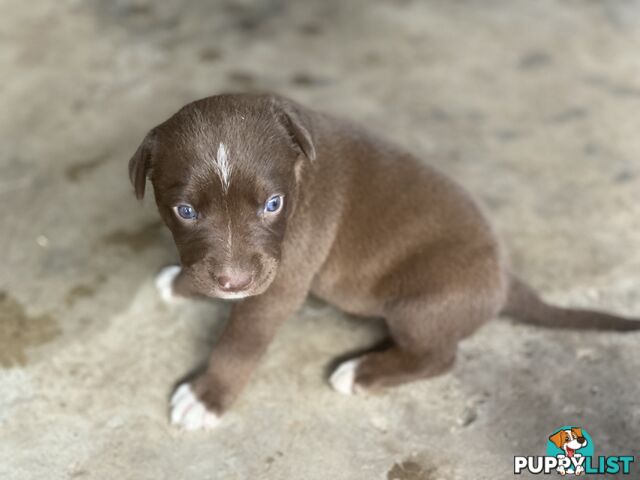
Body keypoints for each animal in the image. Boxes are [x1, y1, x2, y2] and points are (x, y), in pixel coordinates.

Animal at [127, 94, 636, 432]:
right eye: (185, 211)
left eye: (273, 205)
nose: (233, 281)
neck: (299, 170)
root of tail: (505, 278)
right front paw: (183, 283)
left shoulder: (279, 283)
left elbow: (239, 343)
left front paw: (207, 396)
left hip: (420, 306)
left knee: (439, 356)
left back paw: (363, 372)